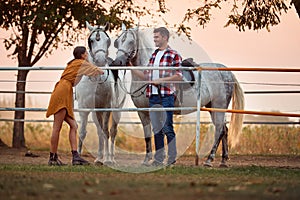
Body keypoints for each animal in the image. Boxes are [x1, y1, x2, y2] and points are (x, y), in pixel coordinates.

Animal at [76, 21, 126, 166]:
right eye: (91, 40)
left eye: (107, 40)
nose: (100, 60)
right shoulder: (84, 109)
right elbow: (82, 132)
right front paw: (78, 157)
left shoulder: (107, 108)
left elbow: (106, 131)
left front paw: (108, 159)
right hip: (95, 112)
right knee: (99, 131)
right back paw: (99, 158)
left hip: (117, 109)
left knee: (112, 131)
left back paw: (111, 158)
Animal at [112, 23, 244, 167]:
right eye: (117, 42)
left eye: (131, 41)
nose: (117, 62)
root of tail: (227, 72)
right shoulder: (142, 111)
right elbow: (148, 135)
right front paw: (148, 160)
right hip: (213, 108)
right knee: (224, 130)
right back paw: (223, 160)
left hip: (219, 106)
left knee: (219, 130)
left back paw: (209, 160)